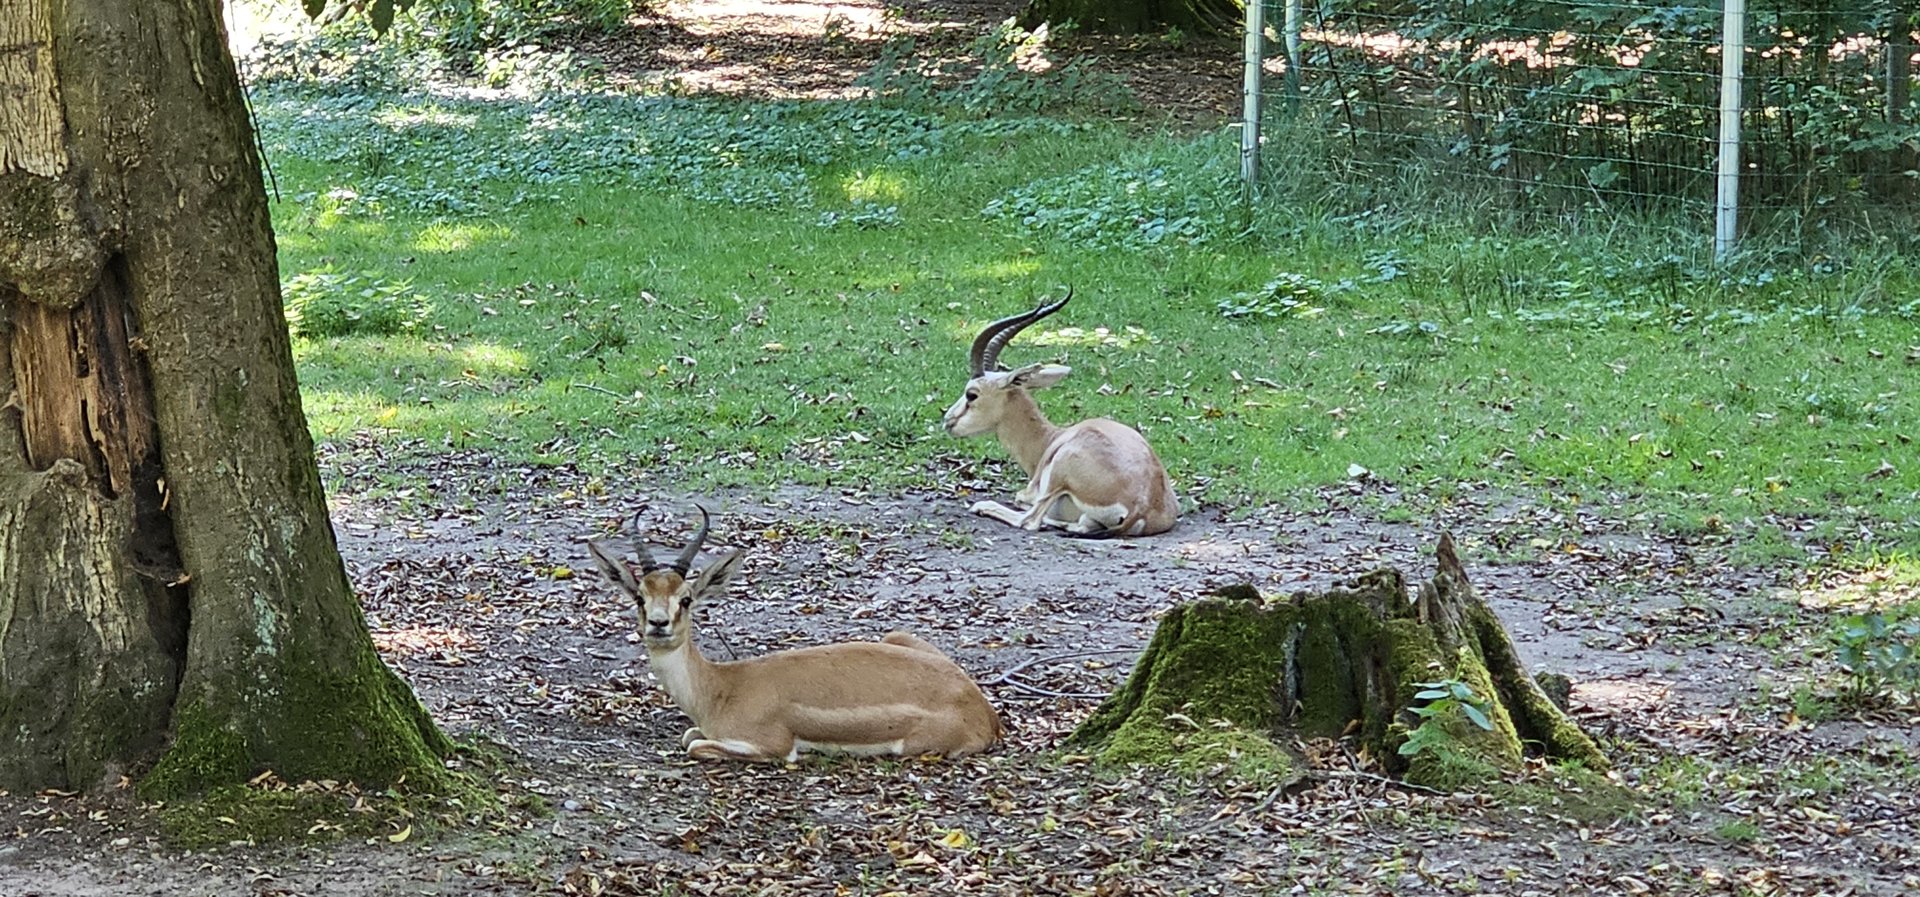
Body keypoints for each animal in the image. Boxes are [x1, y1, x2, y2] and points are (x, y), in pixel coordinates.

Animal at [585, 506, 1003, 762]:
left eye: (686, 599)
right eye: (640, 596)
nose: (659, 624)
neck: (720, 689)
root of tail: (982, 708)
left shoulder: (770, 745)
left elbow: (694, 744)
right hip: (896, 636)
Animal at [942, 289, 1179, 537]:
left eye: (971, 394)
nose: (948, 420)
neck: (1050, 439)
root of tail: (1142, 505)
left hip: (1059, 471)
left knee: (1030, 520)